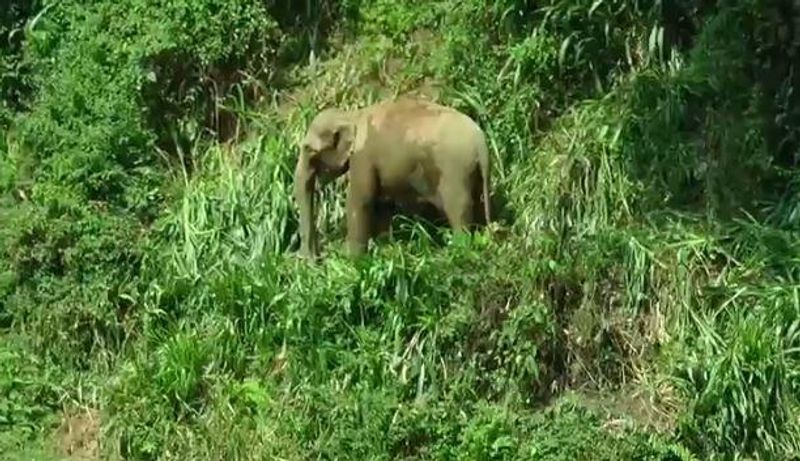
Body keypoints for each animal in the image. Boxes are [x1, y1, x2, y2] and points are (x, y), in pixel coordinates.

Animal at [294, 96, 494, 258]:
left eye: (308, 149)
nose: (316, 259)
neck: (352, 115)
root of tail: (481, 142)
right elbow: (383, 203)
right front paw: (385, 249)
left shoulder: (363, 155)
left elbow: (360, 200)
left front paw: (352, 259)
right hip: (471, 171)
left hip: (454, 169)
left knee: (458, 207)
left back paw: (459, 250)